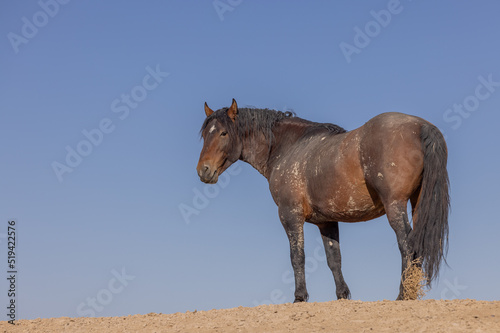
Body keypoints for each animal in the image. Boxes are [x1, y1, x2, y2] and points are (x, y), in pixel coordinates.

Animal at [196, 98, 450, 300]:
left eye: (224, 133)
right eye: (205, 134)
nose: (203, 171)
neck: (290, 147)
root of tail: (421, 126)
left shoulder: (290, 215)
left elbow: (297, 256)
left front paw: (299, 298)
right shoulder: (326, 221)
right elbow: (334, 259)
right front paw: (342, 296)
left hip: (395, 205)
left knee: (407, 244)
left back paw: (403, 294)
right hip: (417, 204)